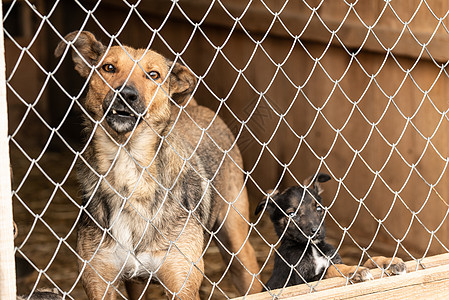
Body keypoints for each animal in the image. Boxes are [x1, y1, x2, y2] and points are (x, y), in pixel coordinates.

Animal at [54, 31, 260, 298]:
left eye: (153, 75)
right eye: (108, 67)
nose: (126, 94)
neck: (129, 169)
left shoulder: (182, 284)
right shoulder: (100, 282)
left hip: (238, 248)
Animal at [256, 173, 406, 290]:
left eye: (319, 209)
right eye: (292, 215)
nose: (316, 231)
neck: (312, 248)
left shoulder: (334, 259)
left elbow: (369, 259)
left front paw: (390, 260)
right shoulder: (303, 281)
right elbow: (331, 269)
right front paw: (354, 270)